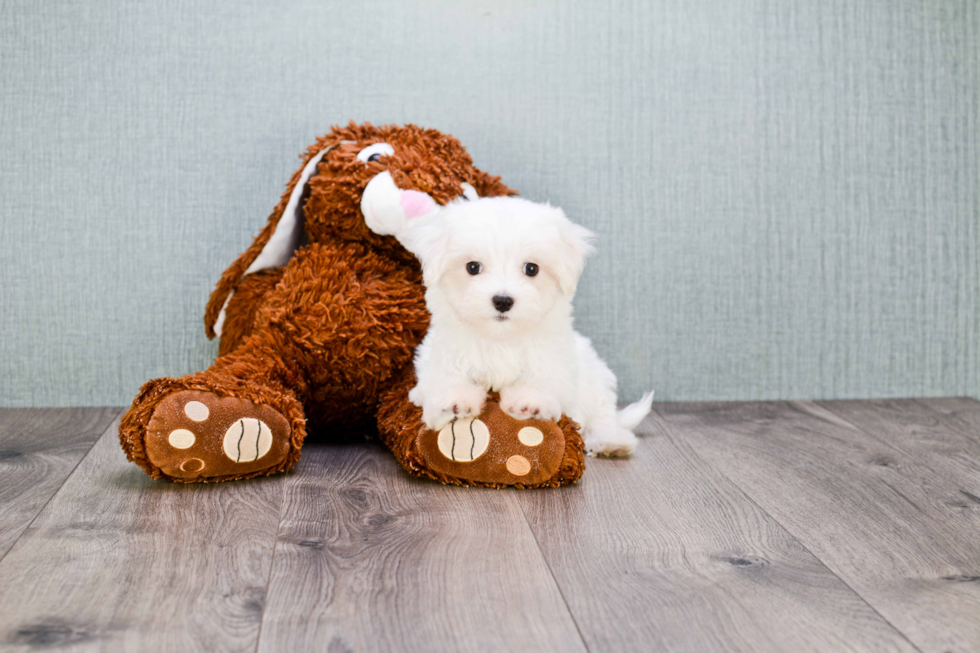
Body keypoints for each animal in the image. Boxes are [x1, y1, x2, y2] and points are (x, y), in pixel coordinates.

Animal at [390, 196, 652, 456]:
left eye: (531, 268)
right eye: (472, 267)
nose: (503, 301)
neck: (501, 338)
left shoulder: (555, 360)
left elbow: (543, 379)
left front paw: (531, 401)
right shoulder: (443, 354)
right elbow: (446, 377)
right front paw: (454, 401)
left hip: (594, 376)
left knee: (602, 413)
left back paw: (610, 442)